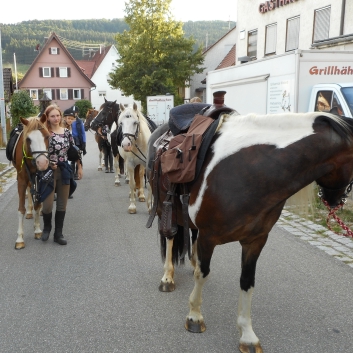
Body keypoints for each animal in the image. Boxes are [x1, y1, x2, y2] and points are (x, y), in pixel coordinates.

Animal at [12, 115, 49, 248]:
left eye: (47, 136)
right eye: (28, 139)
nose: (42, 163)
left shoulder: (38, 178)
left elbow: (37, 204)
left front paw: (37, 230)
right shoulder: (22, 180)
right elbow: (20, 209)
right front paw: (19, 238)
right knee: (28, 189)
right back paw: (29, 211)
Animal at [146, 110, 353, 352]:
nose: (336, 200)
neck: (249, 172)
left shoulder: (256, 240)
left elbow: (247, 281)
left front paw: (247, 334)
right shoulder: (209, 236)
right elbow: (203, 274)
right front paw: (195, 316)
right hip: (165, 209)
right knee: (170, 238)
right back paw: (167, 277)